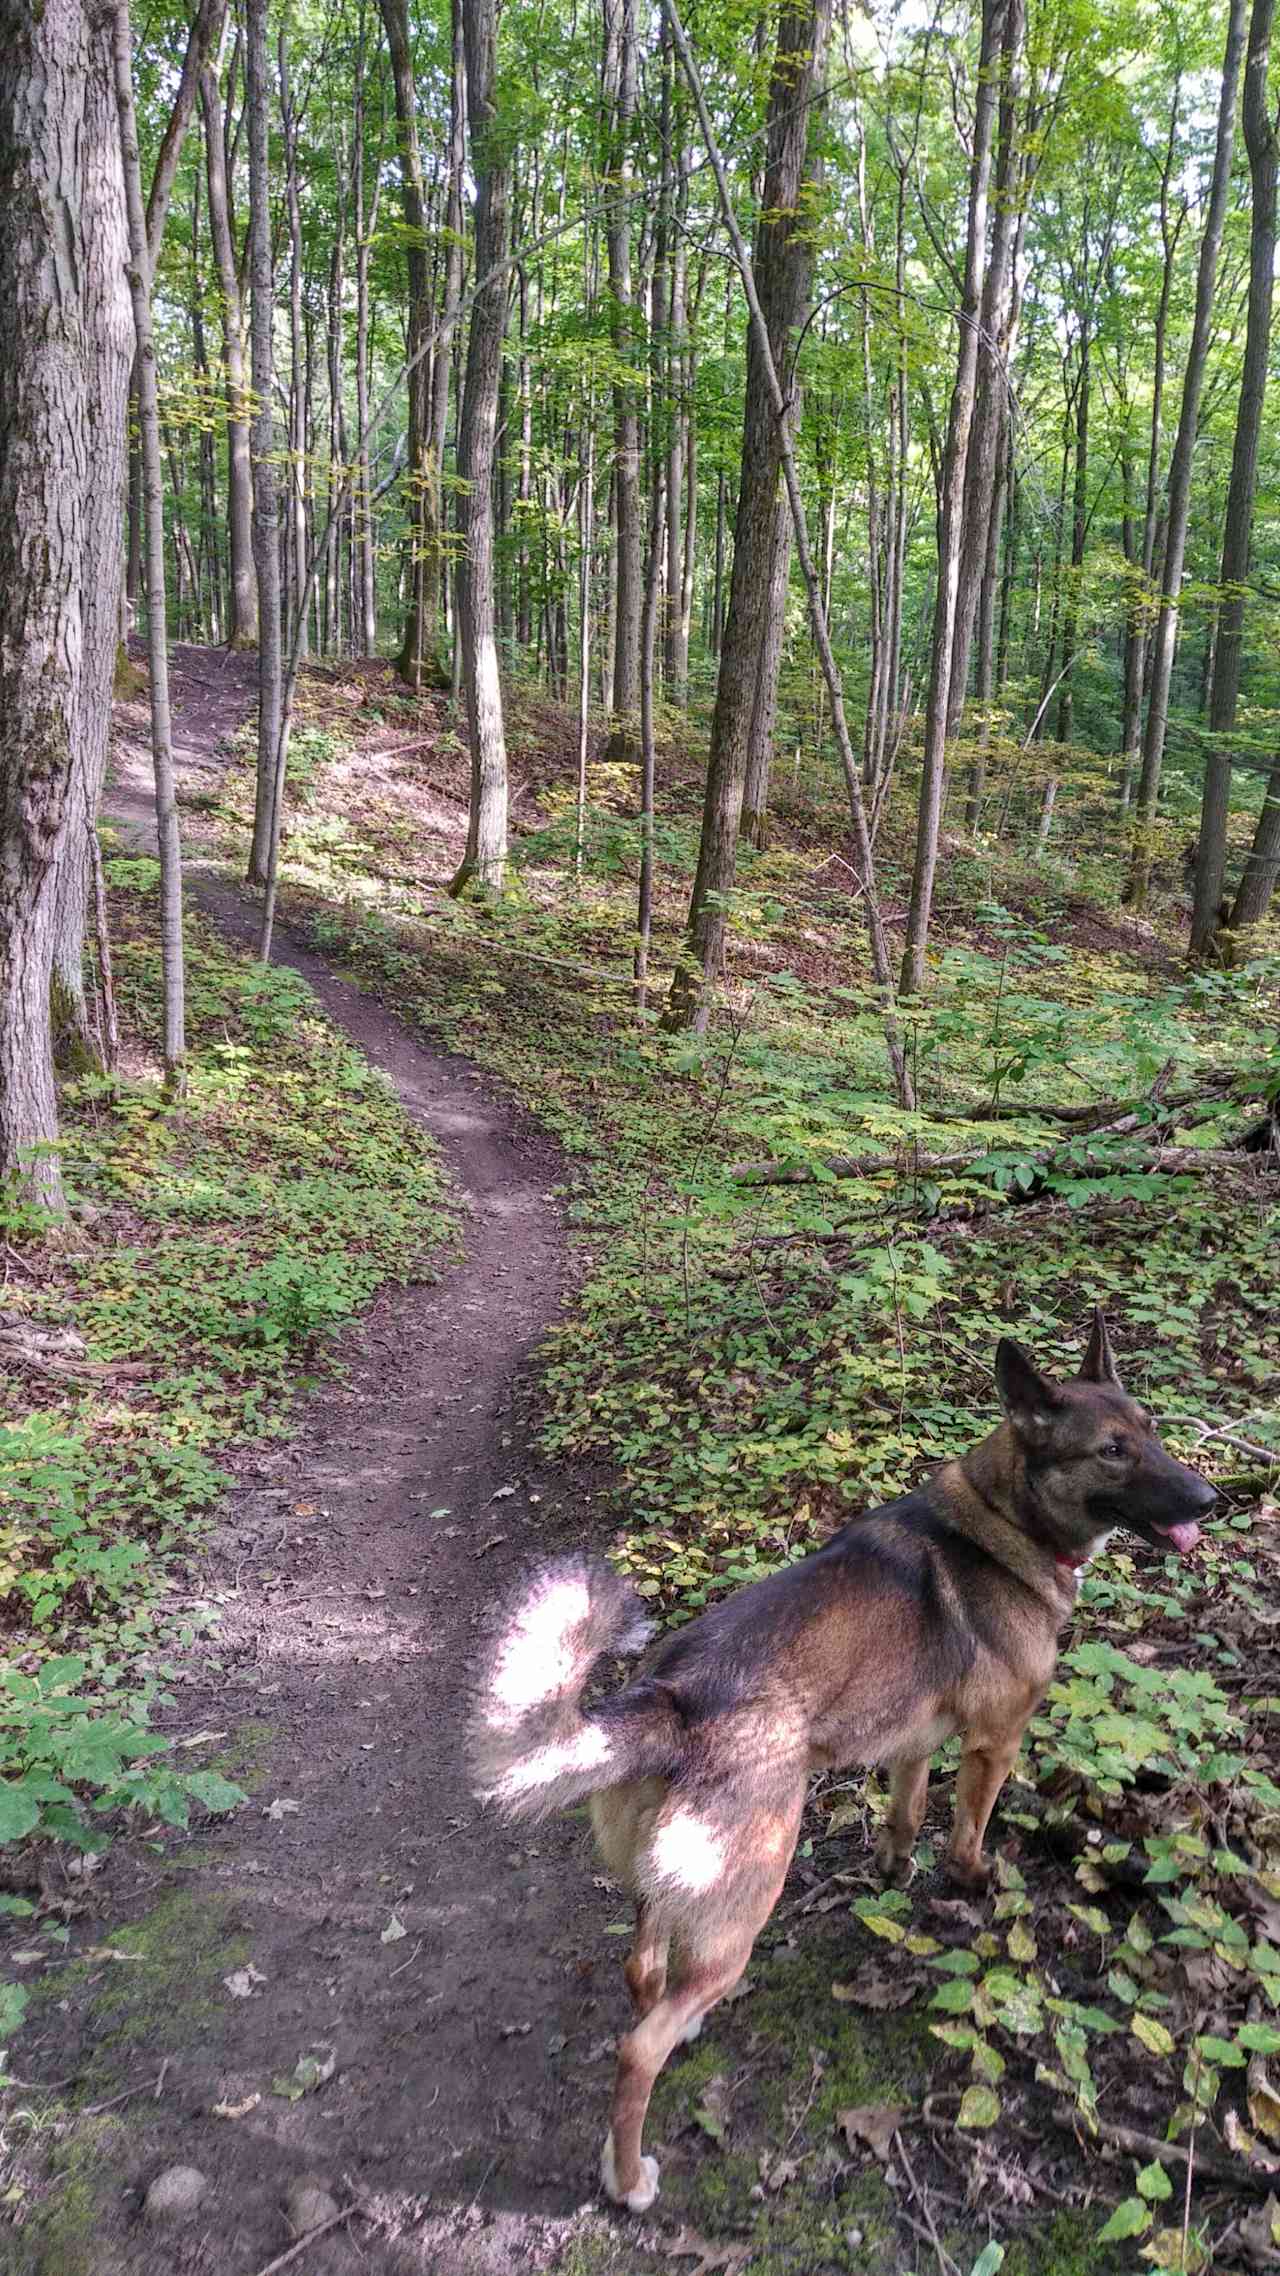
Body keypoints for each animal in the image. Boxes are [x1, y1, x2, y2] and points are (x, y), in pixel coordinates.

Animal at [471, 1320, 1211, 2203]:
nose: (1212, 1500)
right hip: (750, 1894)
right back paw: (628, 2177)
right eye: (1111, 1451)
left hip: (663, 1891)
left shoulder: (913, 1743)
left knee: (644, 1974)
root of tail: (673, 1696)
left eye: (1153, 1430)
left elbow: (905, 1815)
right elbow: (968, 1833)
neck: (1005, 1520)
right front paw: (972, 1884)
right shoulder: (992, 1744)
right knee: (637, 2048)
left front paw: (893, 1872)